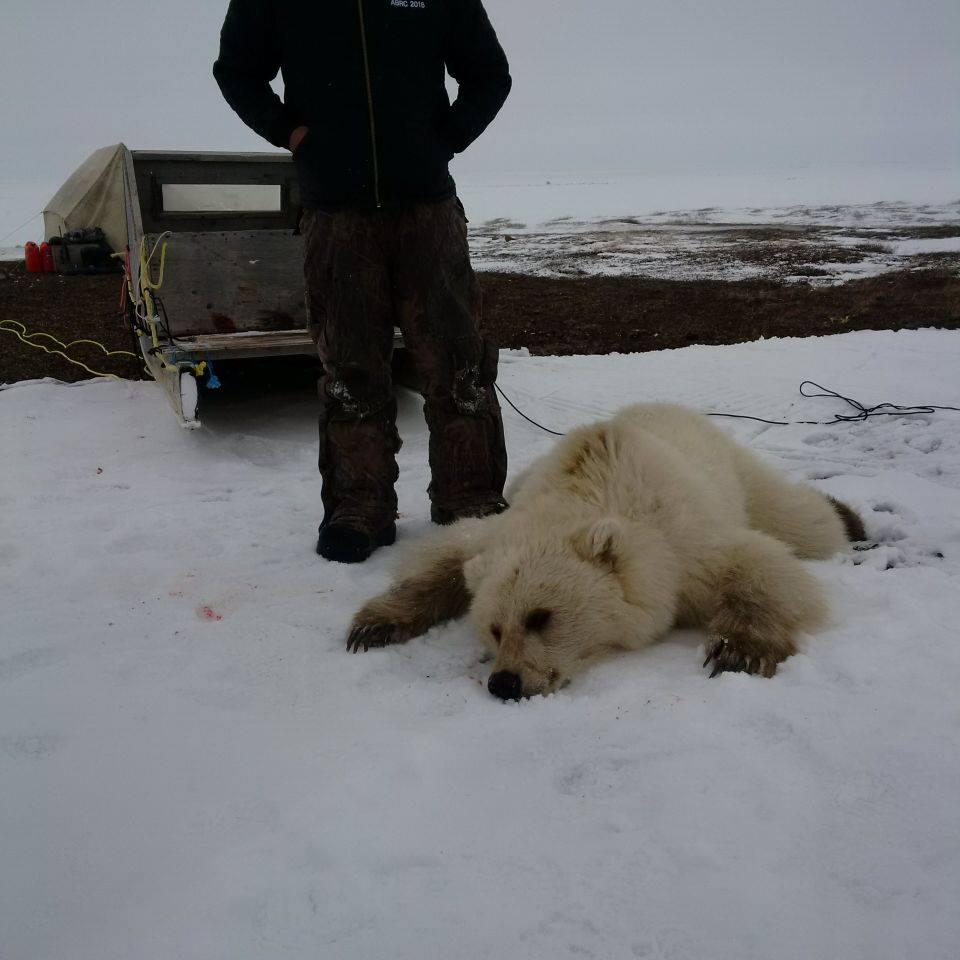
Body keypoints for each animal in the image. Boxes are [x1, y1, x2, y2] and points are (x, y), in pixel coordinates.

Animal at [346, 402, 866, 699]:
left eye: (540, 616)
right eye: (493, 628)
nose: (504, 683)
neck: (591, 487)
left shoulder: (683, 545)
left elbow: (758, 565)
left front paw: (739, 651)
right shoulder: (506, 526)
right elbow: (451, 551)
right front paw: (374, 626)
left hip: (732, 470)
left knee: (800, 519)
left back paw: (848, 518)